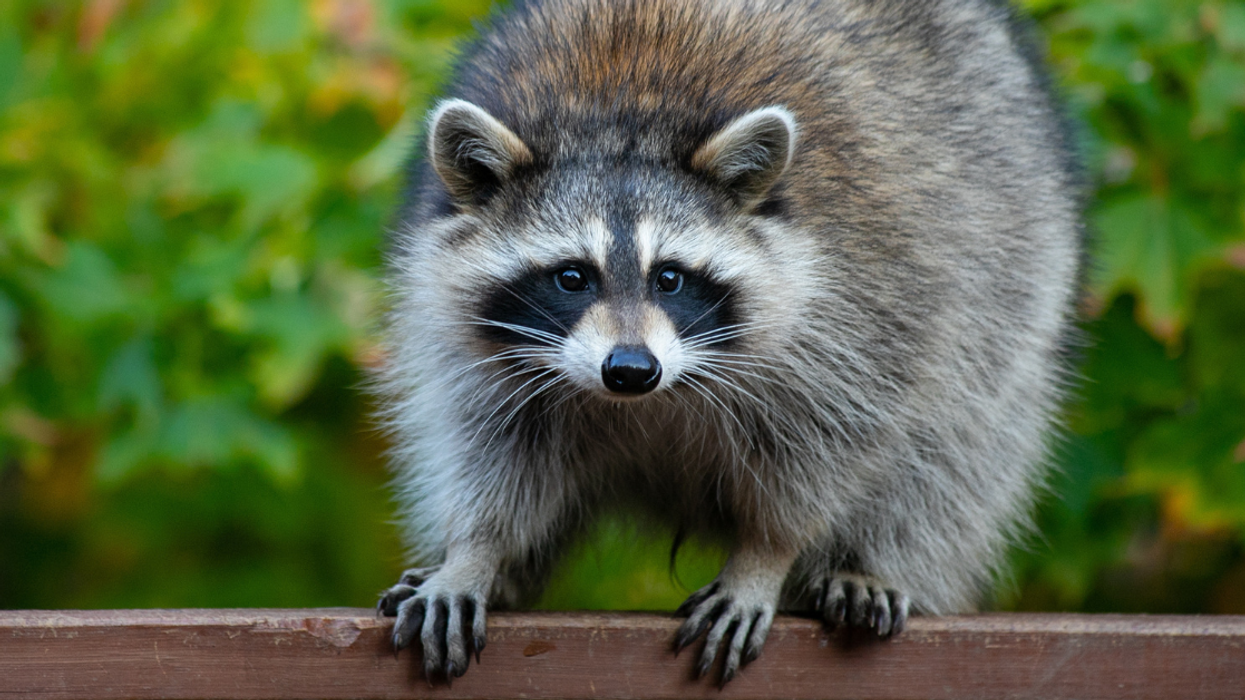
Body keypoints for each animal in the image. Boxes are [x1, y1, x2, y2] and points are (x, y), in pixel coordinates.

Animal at [376, 0, 1081, 685]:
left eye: (670, 278)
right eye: (572, 277)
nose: (630, 369)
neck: (620, 117)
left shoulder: (861, 308)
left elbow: (826, 449)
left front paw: (765, 555)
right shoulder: (476, 347)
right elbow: (493, 445)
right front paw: (476, 551)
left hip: (1009, 301)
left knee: (954, 454)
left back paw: (873, 562)